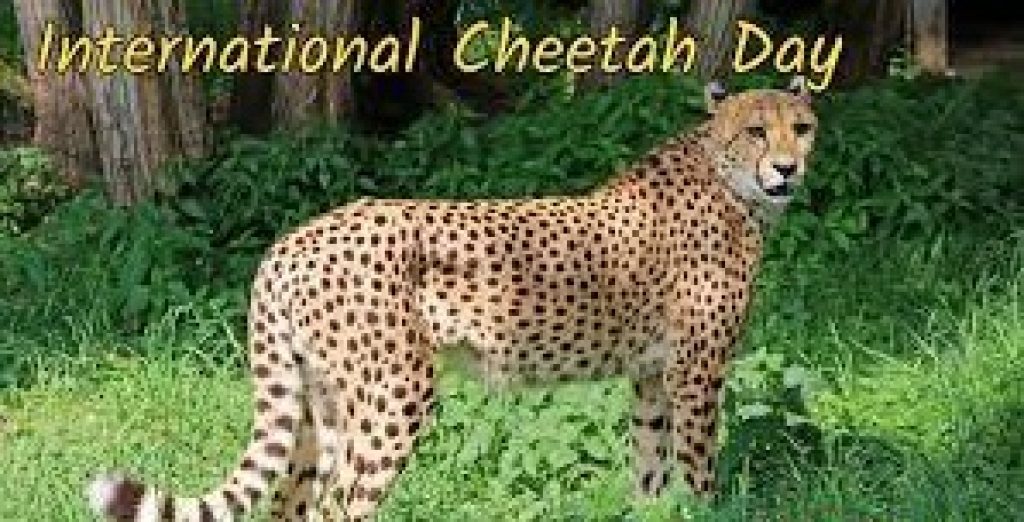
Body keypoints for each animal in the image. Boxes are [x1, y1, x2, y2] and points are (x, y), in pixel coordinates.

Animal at [88, 76, 818, 522]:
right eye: (756, 131)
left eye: (803, 127)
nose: (789, 168)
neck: (729, 181)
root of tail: (293, 240)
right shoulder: (696, 373)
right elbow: (698, 472)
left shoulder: (651, 375)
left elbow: (650, 471)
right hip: (395, 393)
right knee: (339, 505)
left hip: (316, 402)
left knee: (293, 502)